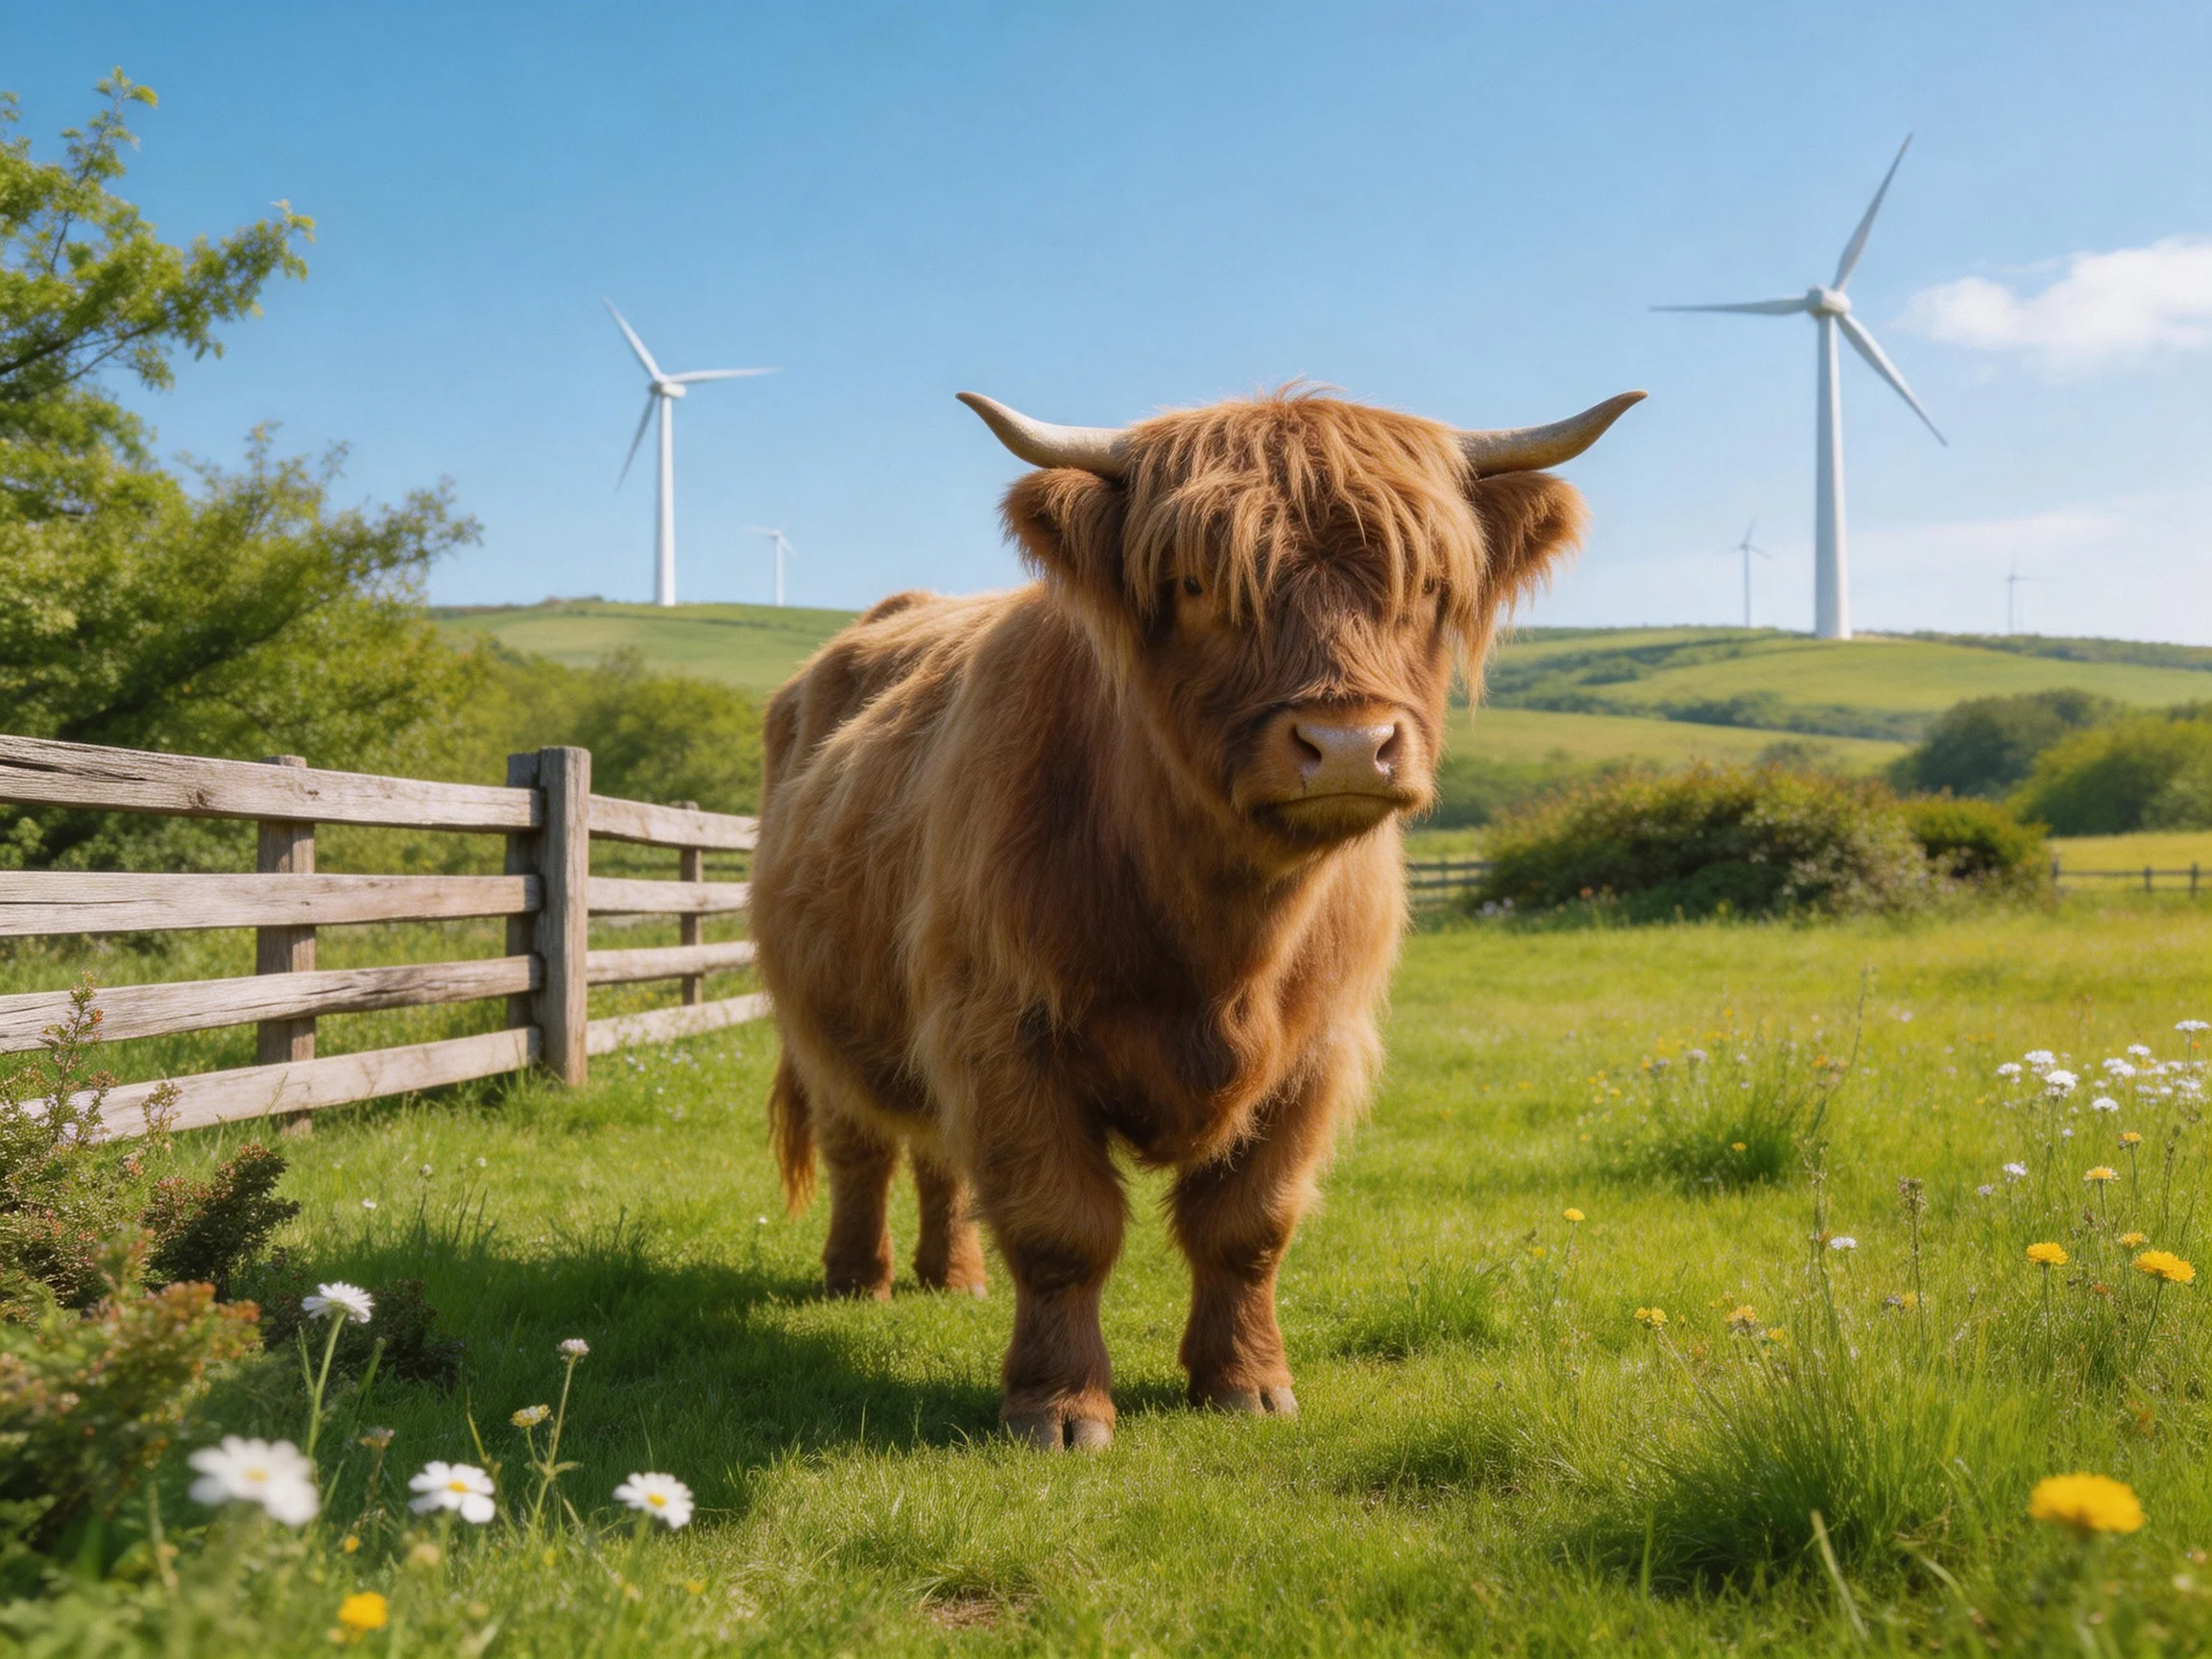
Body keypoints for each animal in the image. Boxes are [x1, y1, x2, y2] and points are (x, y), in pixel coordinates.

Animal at [749, 385, 1640, 1449]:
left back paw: (954, 1278)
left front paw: (1246, 1384)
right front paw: (1058, 1407)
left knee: (939, 1155)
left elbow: (1249, 1226)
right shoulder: (1000, 1028)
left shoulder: (1315, 1049)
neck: (1221, 941)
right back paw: (859, 1280)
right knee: (863, 1144)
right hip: (823, 1022)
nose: (1348, 745)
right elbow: (1061, 1226)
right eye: (1197, 584)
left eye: (1426, 586)